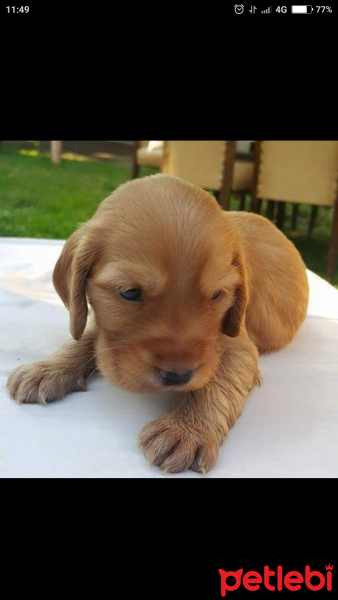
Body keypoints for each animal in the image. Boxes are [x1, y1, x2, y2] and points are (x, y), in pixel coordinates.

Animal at [7, 173, 308, 474]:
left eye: (216, 295)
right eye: (130, 293)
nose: (178, 377)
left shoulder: (238, 343)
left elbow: (219, 380)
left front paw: (187, 430)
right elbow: (83, 338)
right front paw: (45, 369)